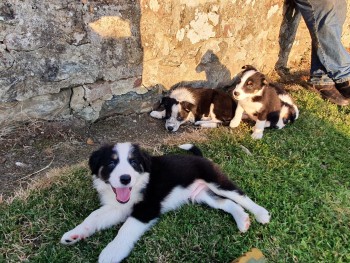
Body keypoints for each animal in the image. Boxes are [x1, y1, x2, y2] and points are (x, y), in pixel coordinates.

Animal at [60, 143, 270, 262]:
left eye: (133, 162)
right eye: (111, 163)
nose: (125, 179)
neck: (139, 184)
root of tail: (200, 157)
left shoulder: (148, 208)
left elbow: (126, 228)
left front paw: (112, 252)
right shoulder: (117, 206)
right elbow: (93, 217)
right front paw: (73, 234)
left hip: (216, 180)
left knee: (240, 195)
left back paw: (261, 214)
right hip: (201, 194)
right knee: (226, 203)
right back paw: (242, 220)